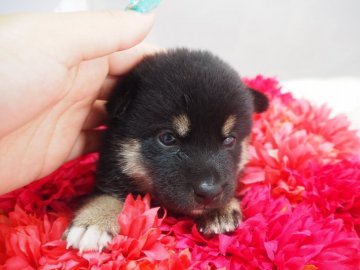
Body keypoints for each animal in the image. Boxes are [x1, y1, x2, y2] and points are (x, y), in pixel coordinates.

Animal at [64, 48, 268, 251]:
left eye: (229, 139)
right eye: (168, 138)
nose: (210, 192)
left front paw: (221, 209)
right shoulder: (110, 168)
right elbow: (106, 194)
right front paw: (94, 222)